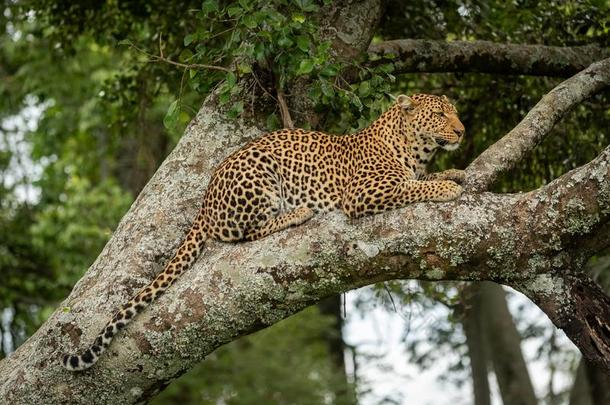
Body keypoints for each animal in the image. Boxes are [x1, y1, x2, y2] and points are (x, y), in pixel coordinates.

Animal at [61, 91, 464, 370]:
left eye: (456, 111)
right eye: (440, 114)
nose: (462, 130)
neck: (414, 150)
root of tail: (205, 201)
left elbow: (421, 179)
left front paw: (453, 173)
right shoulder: (363, 194)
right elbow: (413, 187)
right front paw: (447, 187)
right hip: (260, 176)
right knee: (246, 233)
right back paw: (297, 212)